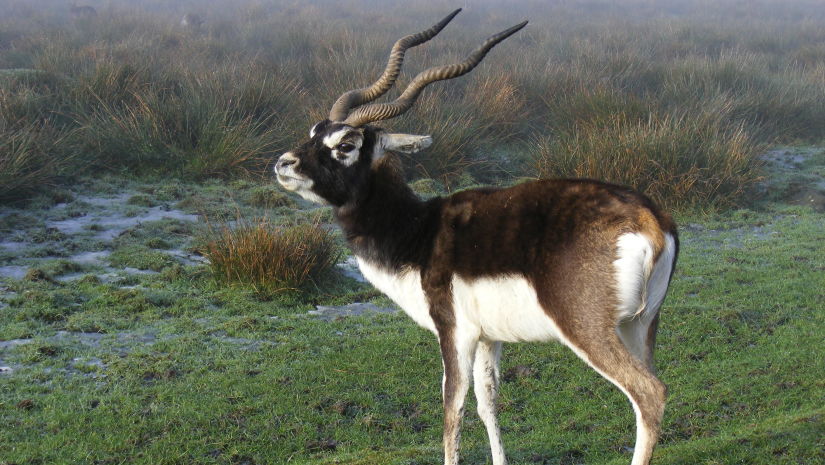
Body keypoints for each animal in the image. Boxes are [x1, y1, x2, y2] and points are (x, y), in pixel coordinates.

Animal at [274, 8, 680, 464]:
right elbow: (489, 402)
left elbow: (453, 411)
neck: (418, 232)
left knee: (650, 394)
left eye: (346, 144)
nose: (284, 164)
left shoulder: (454, 332)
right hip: (639, 327)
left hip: (588, 330)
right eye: (314, 131)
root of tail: (650, 219)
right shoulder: (490, 337)